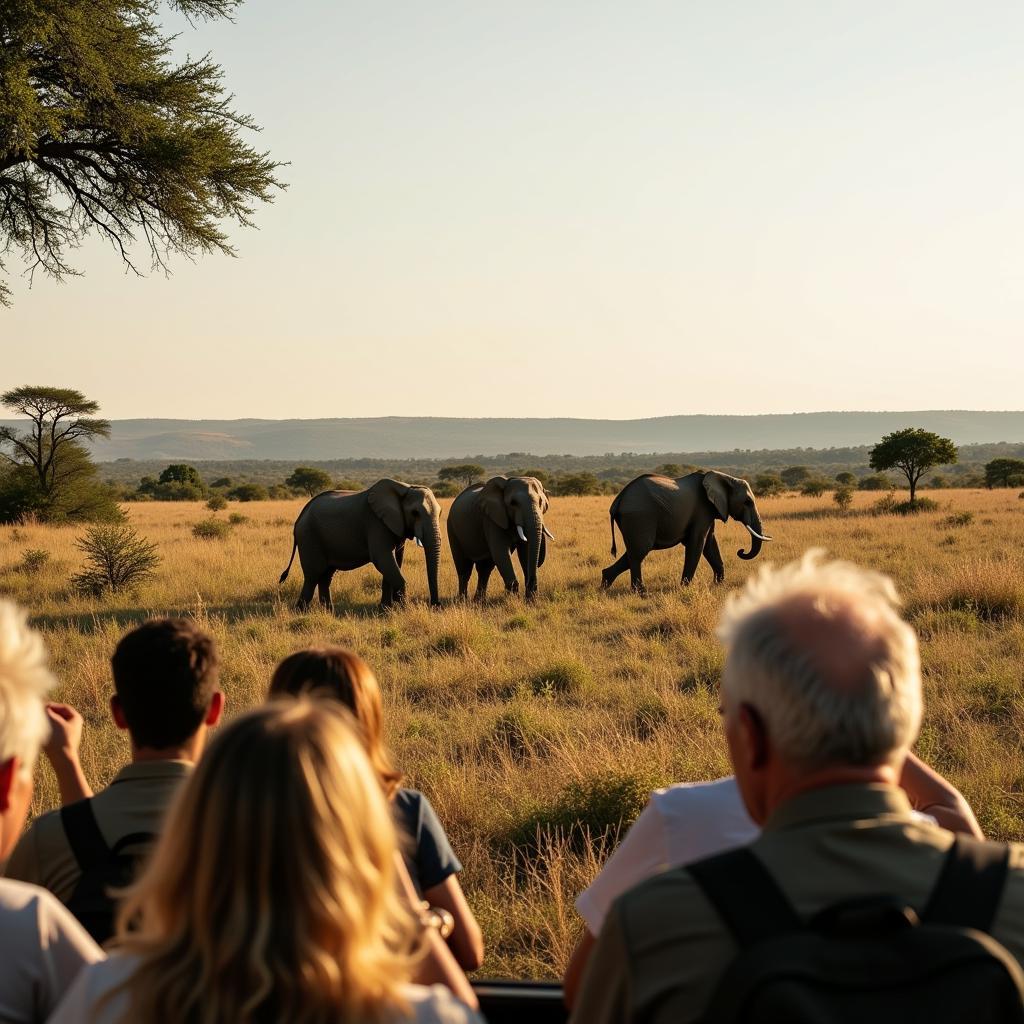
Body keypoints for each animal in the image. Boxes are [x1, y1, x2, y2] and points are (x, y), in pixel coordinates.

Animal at [278, 477, 442, 610]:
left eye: (440, 513)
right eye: (415, 513)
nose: (435, 605)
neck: (405, 488)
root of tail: (299, 518)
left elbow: (395, 562)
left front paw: (385, 610)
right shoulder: (376, 523)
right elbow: (383, 559)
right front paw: (403, 610)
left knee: (326, 576)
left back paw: (328, 612)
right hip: (309, 536)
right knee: (313, 575)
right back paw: (300, 611)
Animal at [598, 468, 770, 593]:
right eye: (747, 502)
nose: (741, 551)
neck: (725, 477)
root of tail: (618, 500)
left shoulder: (710, 510)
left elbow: (709, 544)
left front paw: (718, 585)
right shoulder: (703, 509)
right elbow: (698, 543)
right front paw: (685, 587)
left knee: (633, 551)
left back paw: (605, 584)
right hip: (639, 517)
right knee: (640, 551)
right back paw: (640, 592)